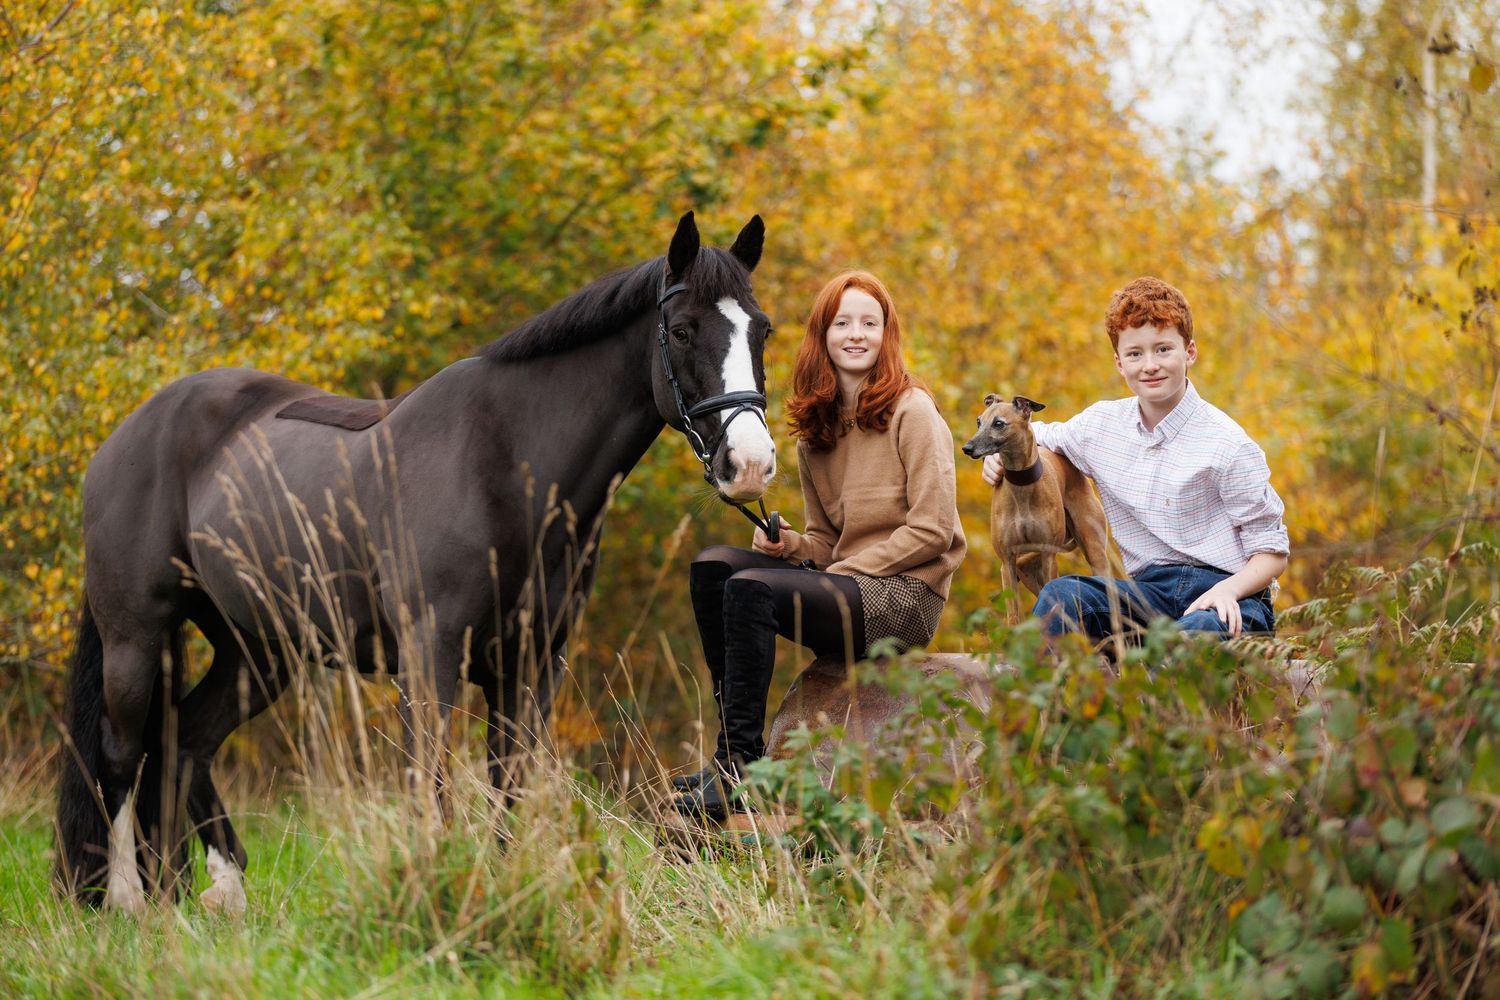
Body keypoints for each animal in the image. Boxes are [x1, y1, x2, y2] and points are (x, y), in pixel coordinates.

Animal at [54, 211, 776, 915]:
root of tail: (125, 436)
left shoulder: (532, 662)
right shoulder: (430, 656)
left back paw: (211, 891)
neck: (508, 462)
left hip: (258, 650)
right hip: (137, 638)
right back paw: (126, 900)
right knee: (121, 753)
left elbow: (509, 783)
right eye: (682, 330)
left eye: (761, 331)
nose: (749, 464)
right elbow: (430, 784)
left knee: (185, 743)